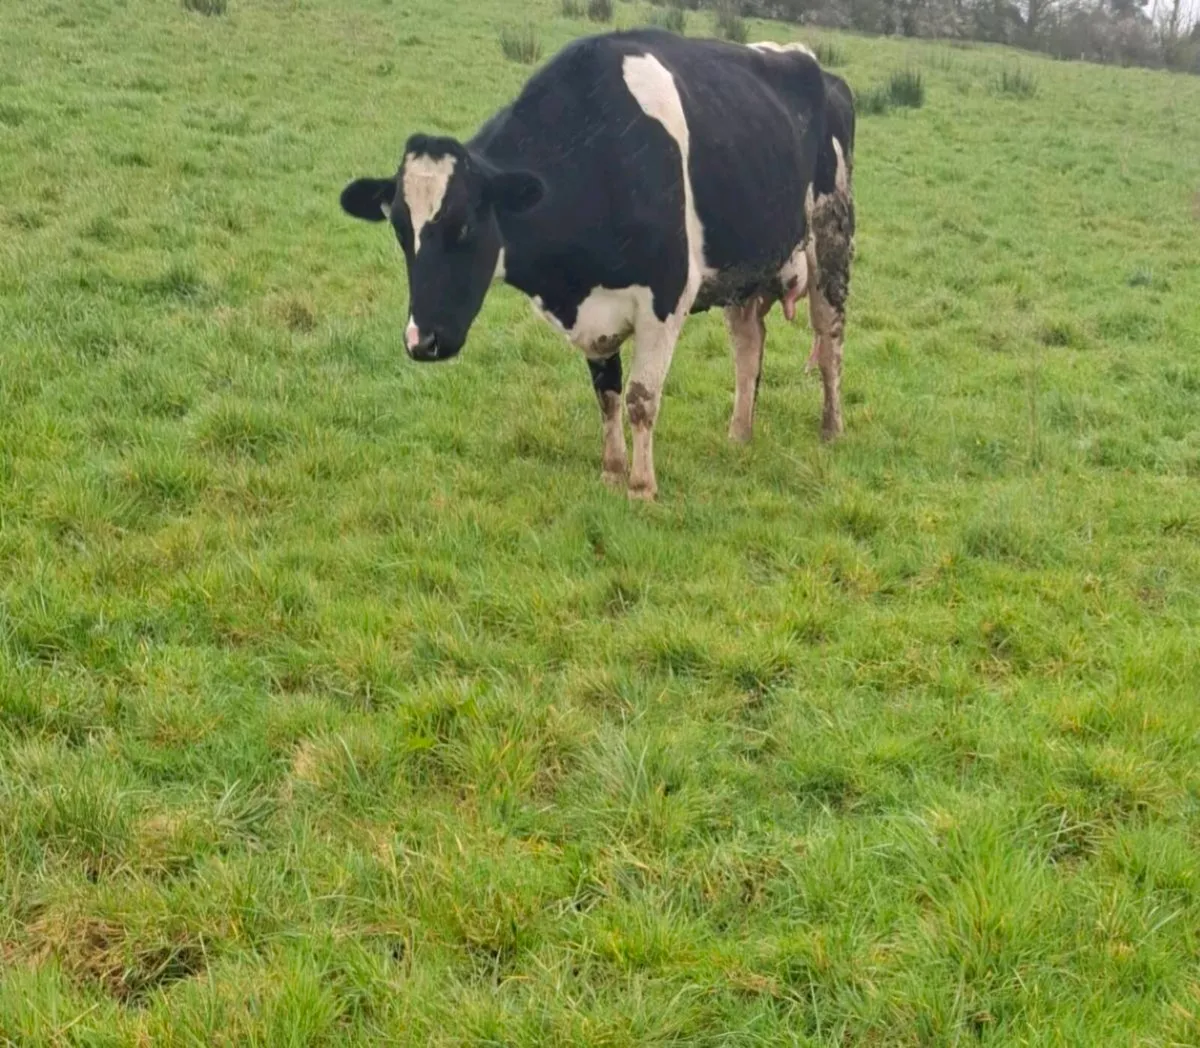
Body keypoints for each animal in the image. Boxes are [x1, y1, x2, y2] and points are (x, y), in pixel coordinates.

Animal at [340, 28, 856, 500]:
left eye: (464, 226)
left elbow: (641, 398)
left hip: (832, 238)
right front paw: (611, 471)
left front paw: (642, 487)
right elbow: (606, 395)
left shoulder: (667, 294)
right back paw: (739, 434)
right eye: (399, 229)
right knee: (749, 348)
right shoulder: (593, 314)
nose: (421, 341)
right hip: (744, 271)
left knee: (830, 338)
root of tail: (806, 59)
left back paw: (832, 429)